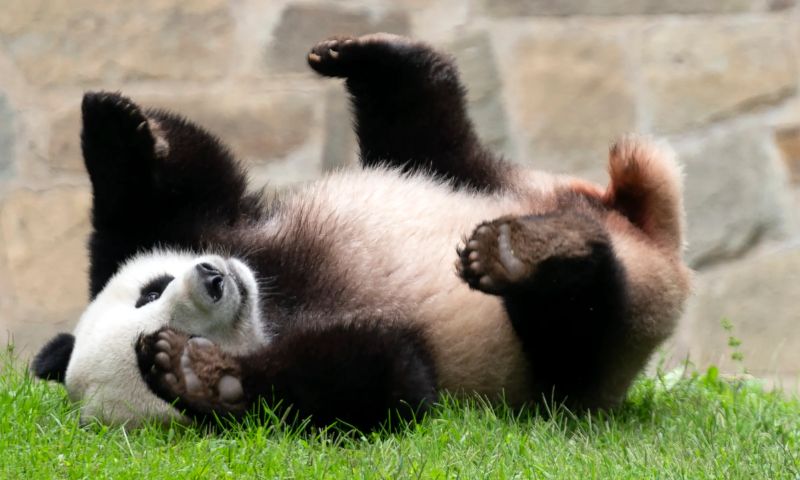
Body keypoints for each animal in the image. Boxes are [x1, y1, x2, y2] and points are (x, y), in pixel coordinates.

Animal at [32, 34, 688, 432]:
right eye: (164, 318)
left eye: (150, 290)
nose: (214, 279)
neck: (274, 300)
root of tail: (653, 238)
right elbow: (387, 382)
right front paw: (199, 374)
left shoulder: (219, 228)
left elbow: (179, 191)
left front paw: (113, 124)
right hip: (584, 357)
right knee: (579, 322)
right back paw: (530, 256)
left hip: (484, 178)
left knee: (427, 129)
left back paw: (369, 57)